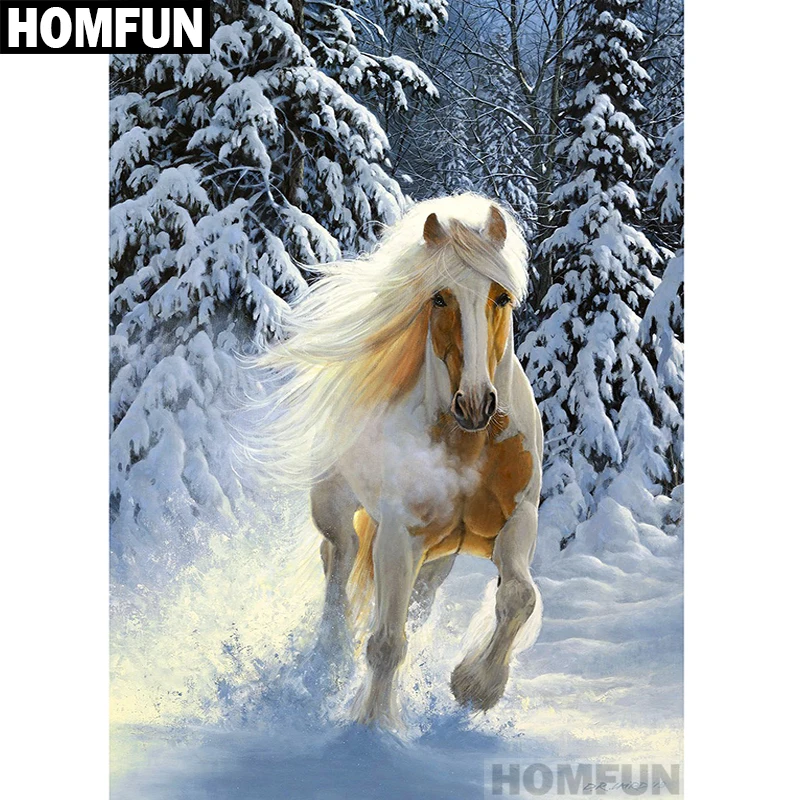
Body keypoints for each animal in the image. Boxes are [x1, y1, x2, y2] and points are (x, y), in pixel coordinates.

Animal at [253, 193, 543, 727]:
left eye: (501, 298)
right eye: (439, 298)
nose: (476, 404)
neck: (468, 446)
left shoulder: (519, 518)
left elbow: (518, 596)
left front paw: (475, 686)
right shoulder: (398, 531)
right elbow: (386, 643)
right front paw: (373, 728)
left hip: (437, 556)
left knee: (411, 599)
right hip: (338, 509)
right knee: (339, 560)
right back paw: (330, 658)